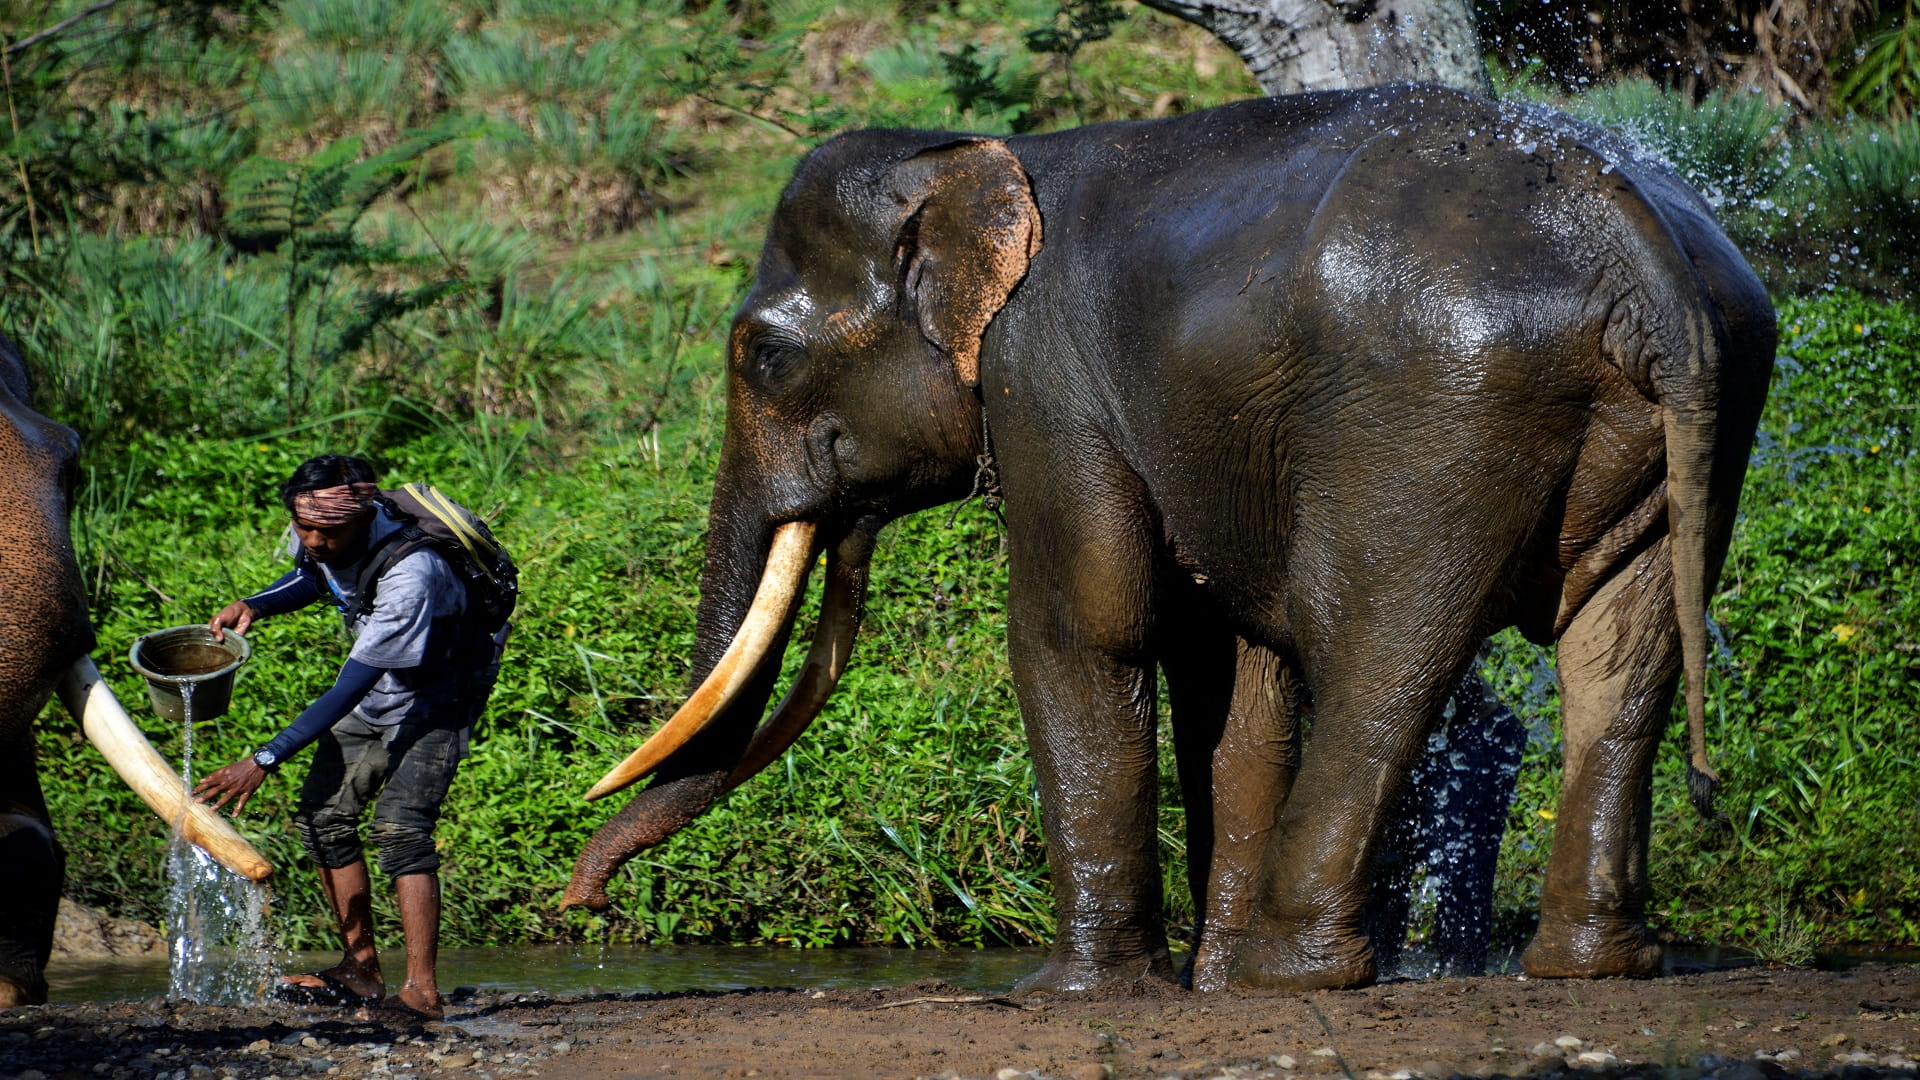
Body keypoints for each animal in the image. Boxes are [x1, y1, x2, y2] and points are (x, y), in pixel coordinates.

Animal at [560, 88, 1774, 991]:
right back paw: (1589, 965)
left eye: (761, 355)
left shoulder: (1045, 380)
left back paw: (1298, 972)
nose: (585, 901)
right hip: (1690, 412)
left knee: (1378, 650)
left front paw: (1081, 992)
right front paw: (1205, 980)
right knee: (1624, 659)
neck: (972, 158)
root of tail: (1628, 235)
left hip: (1437, 414)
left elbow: (1082, 629)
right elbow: (1233, 668)